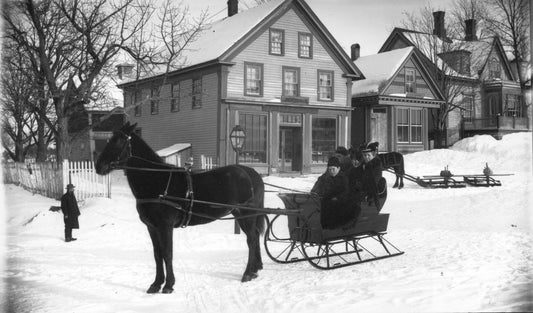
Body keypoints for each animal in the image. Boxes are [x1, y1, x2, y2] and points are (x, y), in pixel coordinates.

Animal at [94, 122, 264, 292]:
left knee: (251, 239)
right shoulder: (152, 227)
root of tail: (251, 173)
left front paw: (169, 285)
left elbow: (167, 253)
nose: (98, 166)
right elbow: (157, 254)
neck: (157, 180)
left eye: (118, 141)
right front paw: (156, 284)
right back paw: (255, 270)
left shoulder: (165, 226)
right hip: (241, 214)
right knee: (255, 237)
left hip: (247, 214)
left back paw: (247, 273)